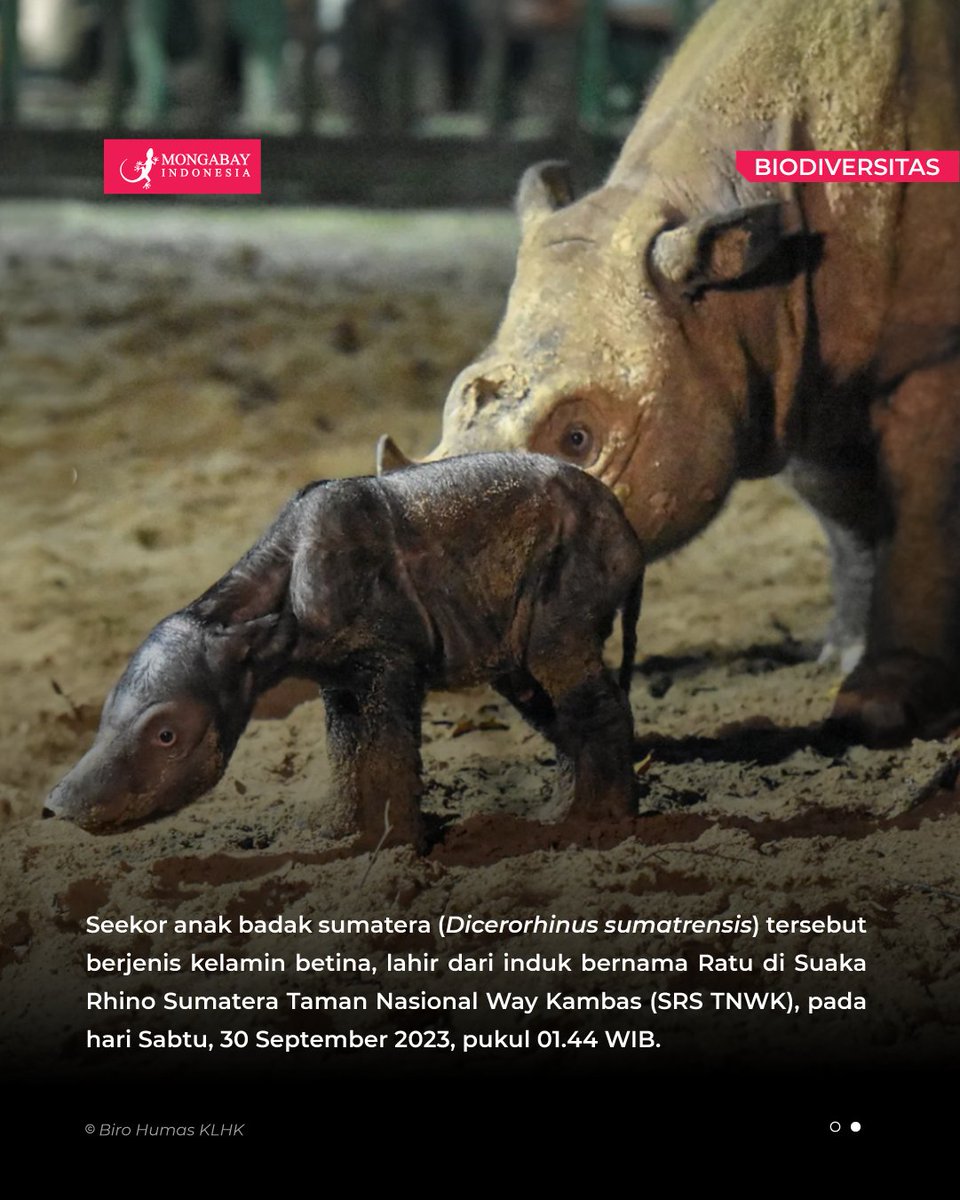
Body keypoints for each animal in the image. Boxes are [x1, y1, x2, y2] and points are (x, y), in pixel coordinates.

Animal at [382, 0, 960, 745]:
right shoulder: (798, 373)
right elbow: (845, 515)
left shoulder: (931, 353)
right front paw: (844, 651)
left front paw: (878, 711)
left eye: (578, 439)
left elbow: (923, 513)